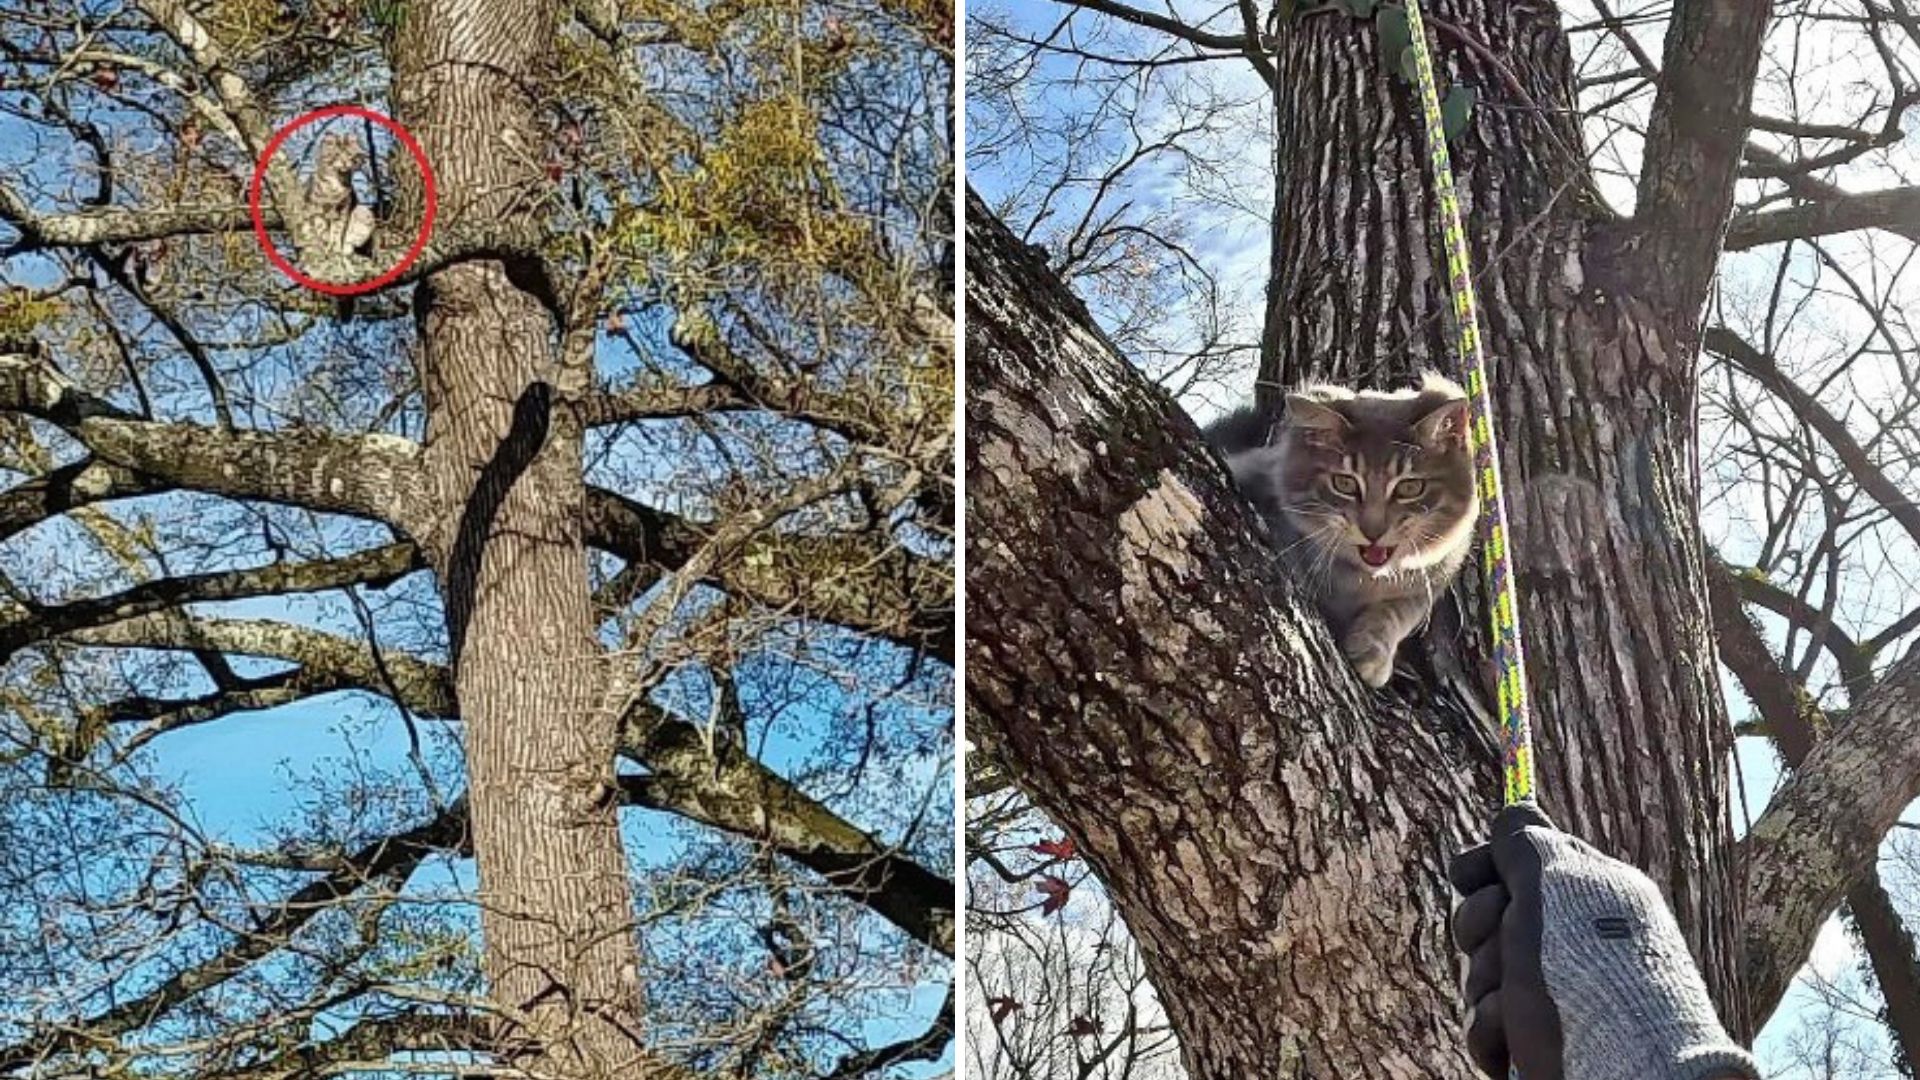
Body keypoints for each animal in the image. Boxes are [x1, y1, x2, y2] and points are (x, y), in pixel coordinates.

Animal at [1205, 374, 1474, 684]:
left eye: (1410, 487)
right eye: (1344, 483)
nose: (1373, 531)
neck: (1363, 580)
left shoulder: (1434, 576)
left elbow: (1398, 612)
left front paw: (1374, 651)